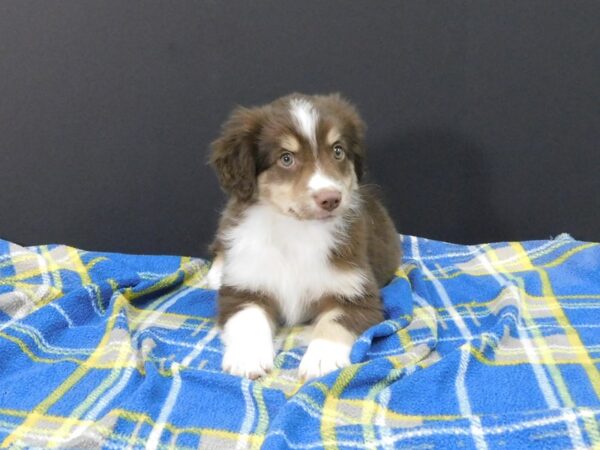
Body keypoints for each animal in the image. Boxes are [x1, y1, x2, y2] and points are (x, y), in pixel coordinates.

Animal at [205, 92, 398, 380]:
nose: (331, 199)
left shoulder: (356, 293)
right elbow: (248, 317)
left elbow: (333, 322)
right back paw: (216, 274)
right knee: (220, 247)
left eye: (338, 151)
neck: (297, 230)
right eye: (286, 158)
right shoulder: (243, 287)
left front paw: (322, 359)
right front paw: (247, 358)